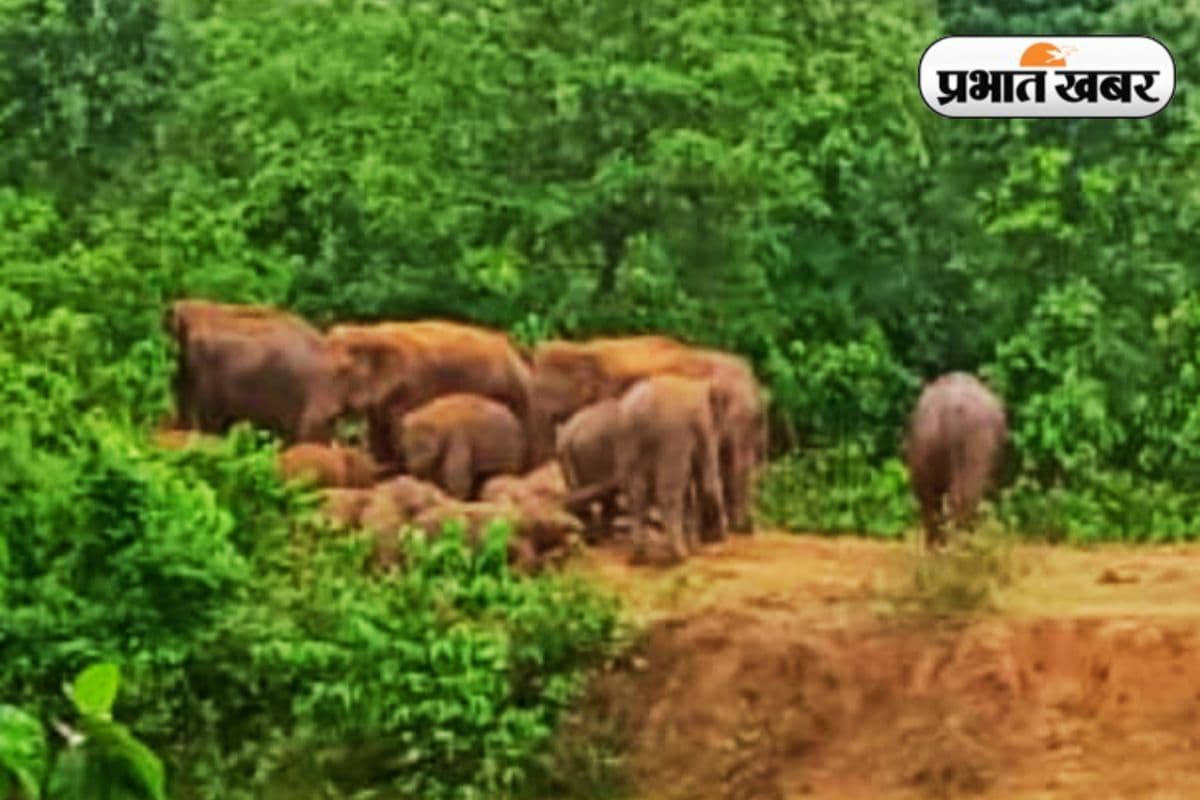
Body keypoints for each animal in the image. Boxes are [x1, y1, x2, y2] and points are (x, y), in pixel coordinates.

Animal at [397, 393, 526, 500]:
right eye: (408, 446)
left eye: (422, 446)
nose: (414, 468)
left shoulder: (457, 437)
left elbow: (457, 476)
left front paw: (456, 497)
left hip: (506, 452)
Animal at [615, 375, 727, 566]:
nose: (722, 536)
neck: (700, 383)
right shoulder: (702, 423)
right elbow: (707, 478)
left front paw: (696, 543)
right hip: (670, 436)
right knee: (668, 492)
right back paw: (680, 555)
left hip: (627, 438)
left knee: (636, 492)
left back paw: (638, 556)